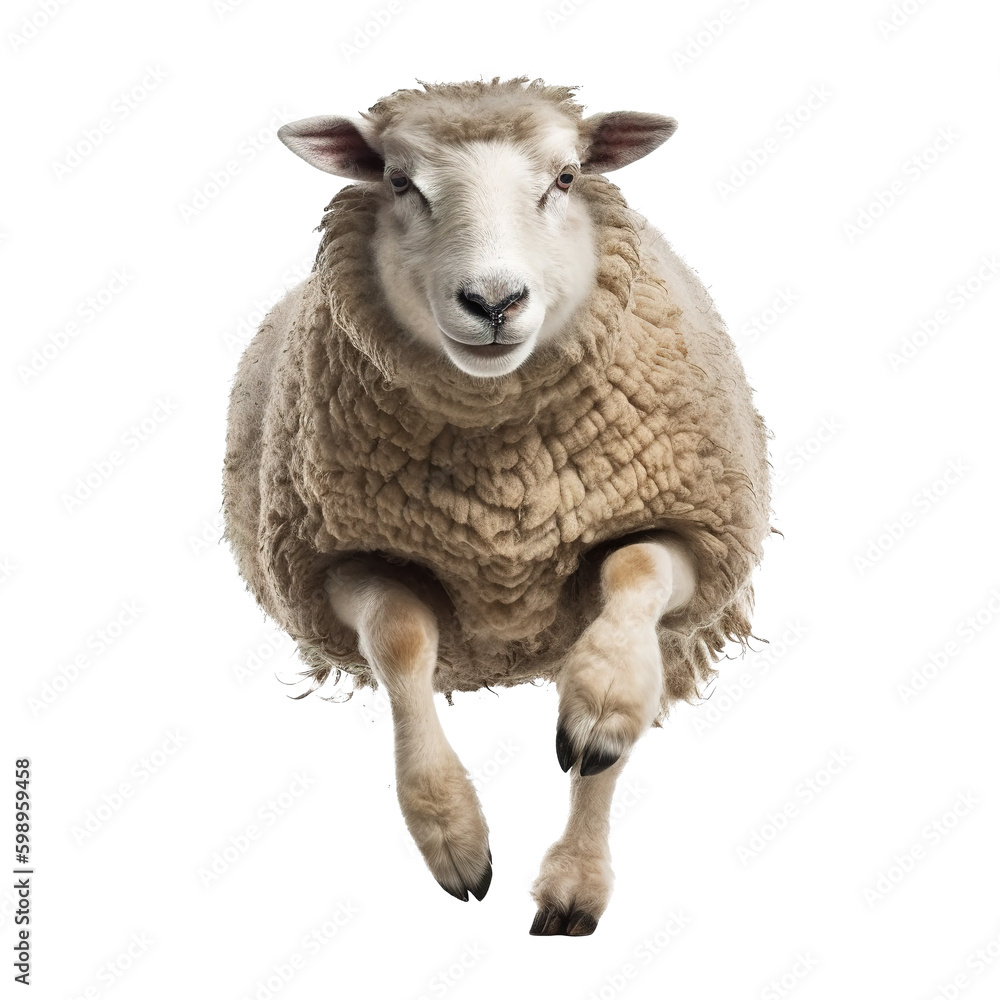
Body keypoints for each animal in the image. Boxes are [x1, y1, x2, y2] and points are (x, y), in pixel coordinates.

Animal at [223, 77, 773, 936]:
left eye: (566, 178)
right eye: (398, 181)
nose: (493, 301)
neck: (504, 487)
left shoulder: (691, 529)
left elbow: (636, 576)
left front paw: (602, 704)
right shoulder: (337, 557)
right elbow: (400, 640)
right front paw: (452, 834)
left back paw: (575, 880)